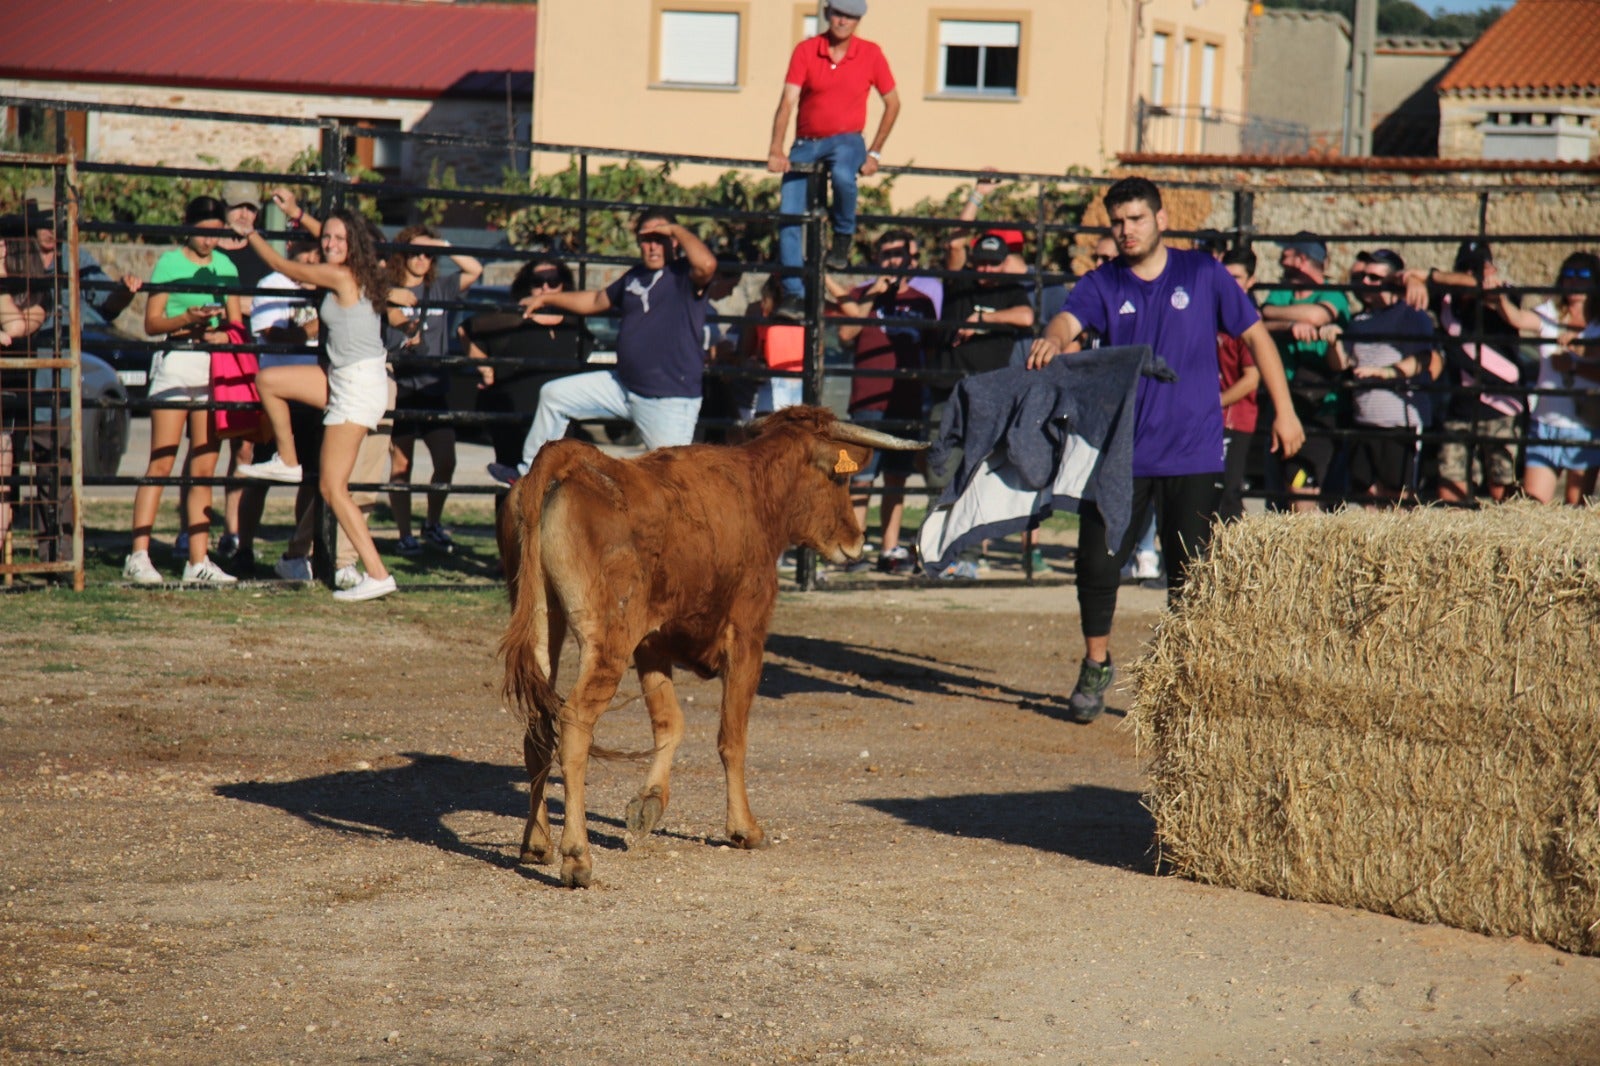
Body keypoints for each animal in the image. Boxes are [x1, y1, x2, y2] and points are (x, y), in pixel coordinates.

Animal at [499, 403, 928, 883]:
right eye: (840, 479)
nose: (856, 540)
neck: (756, 492)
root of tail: (567, 461)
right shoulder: (748, 637)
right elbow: (732, 737)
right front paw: (744, 827)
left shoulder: (652, 642)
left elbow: (670, 722)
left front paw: (649, 803)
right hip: (605, 639)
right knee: (574, 725)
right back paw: (577, 856)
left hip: (541, 621)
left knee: (538, 727)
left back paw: (537, 843)